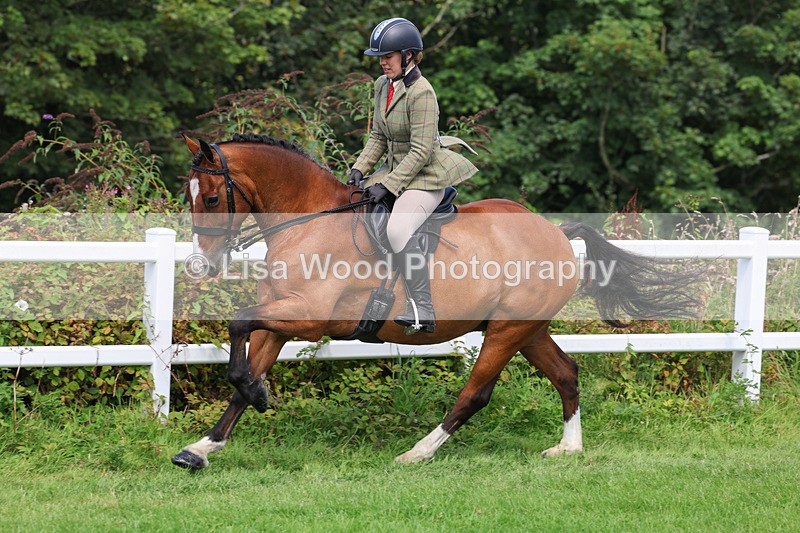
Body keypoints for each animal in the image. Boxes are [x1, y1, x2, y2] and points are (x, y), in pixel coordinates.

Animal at [171, 133, 698, 469]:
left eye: (213, 198)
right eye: (188, 196)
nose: (200, 265)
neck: (308, 221)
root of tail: (555, 232)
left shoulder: (307, 317)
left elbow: (238, 329)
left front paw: (255, 395)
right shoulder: (281, 319)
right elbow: (244, 369)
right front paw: (201, 448)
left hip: (507, 331)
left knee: (475, 393)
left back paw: (417, 452)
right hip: (527, 329)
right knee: (566, 374)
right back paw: (568, 449)